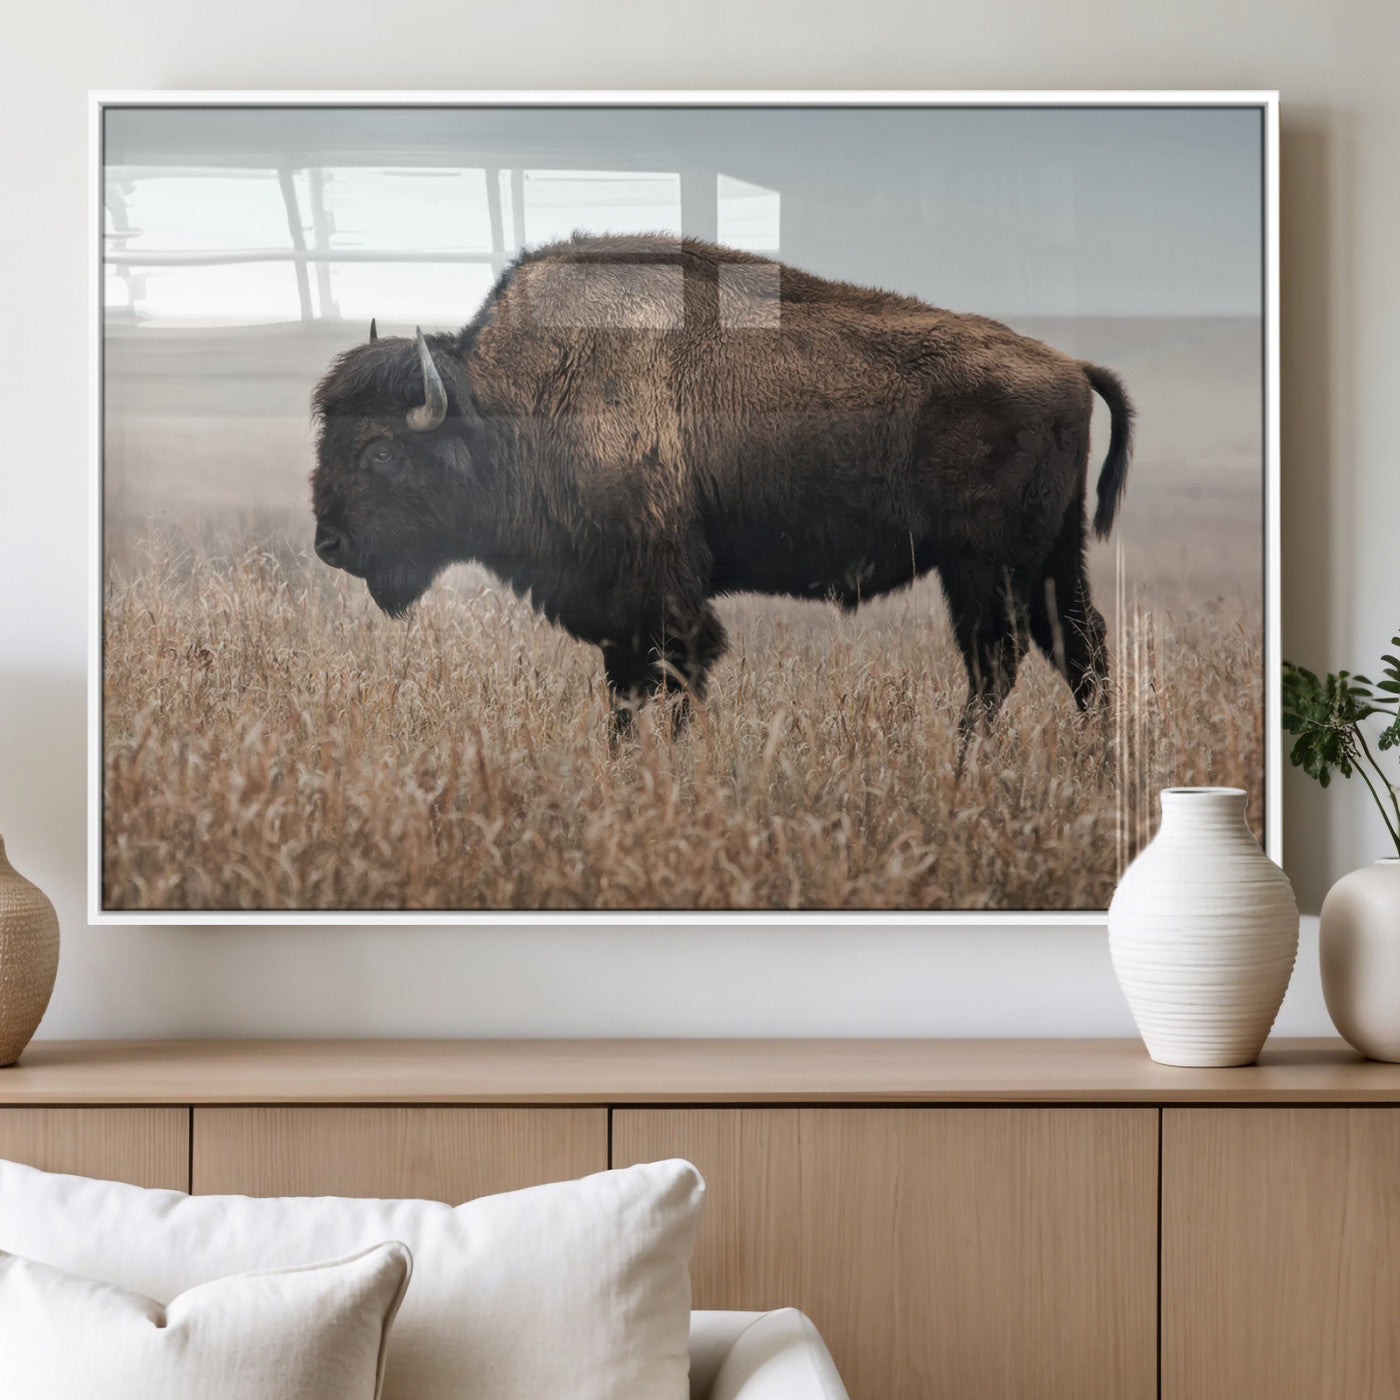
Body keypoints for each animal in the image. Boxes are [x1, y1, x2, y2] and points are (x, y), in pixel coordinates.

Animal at [311, 233, 1133, 739]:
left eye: (381, 452)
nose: (329, 545)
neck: (512, 402)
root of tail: (1068, 366)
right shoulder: (620, 614)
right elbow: (626, 697)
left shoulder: (663, 599)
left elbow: (675, 681)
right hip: (1049, 560)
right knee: (1079, 650)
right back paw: (1091, 764)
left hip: (985, 567)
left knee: (999, 662)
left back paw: (967, 769)